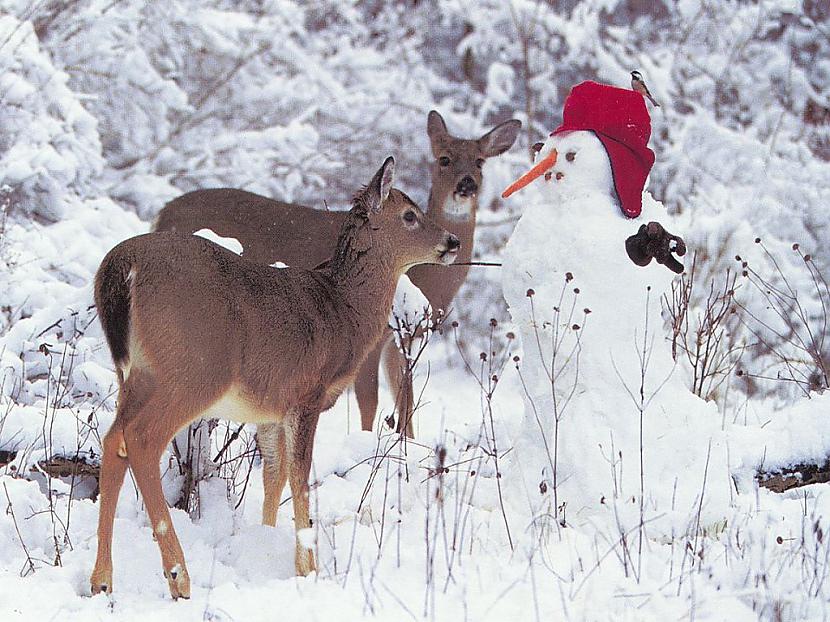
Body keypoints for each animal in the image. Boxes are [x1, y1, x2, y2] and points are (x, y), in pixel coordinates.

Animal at [91, 158, 462, 604]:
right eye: (409, 215)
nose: (453, 241)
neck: (344, 311)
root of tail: (121, 265)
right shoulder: (307, 393)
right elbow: (300, 477)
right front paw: (309, 568)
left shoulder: (270, 409)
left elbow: (274, 474)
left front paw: (264, 544)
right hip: (194, 369)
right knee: (142, 439)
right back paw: (179, 576)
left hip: (136, 374)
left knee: (113, 439)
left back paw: (102, 580)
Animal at [155, 111, 520, 438]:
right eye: (444, 159)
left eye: (480, 162)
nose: (466, 184)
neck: (425, 281)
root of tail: (163, 213)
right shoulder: (374, 340)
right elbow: (370, 403)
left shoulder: (404, 339)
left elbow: (407, 403)